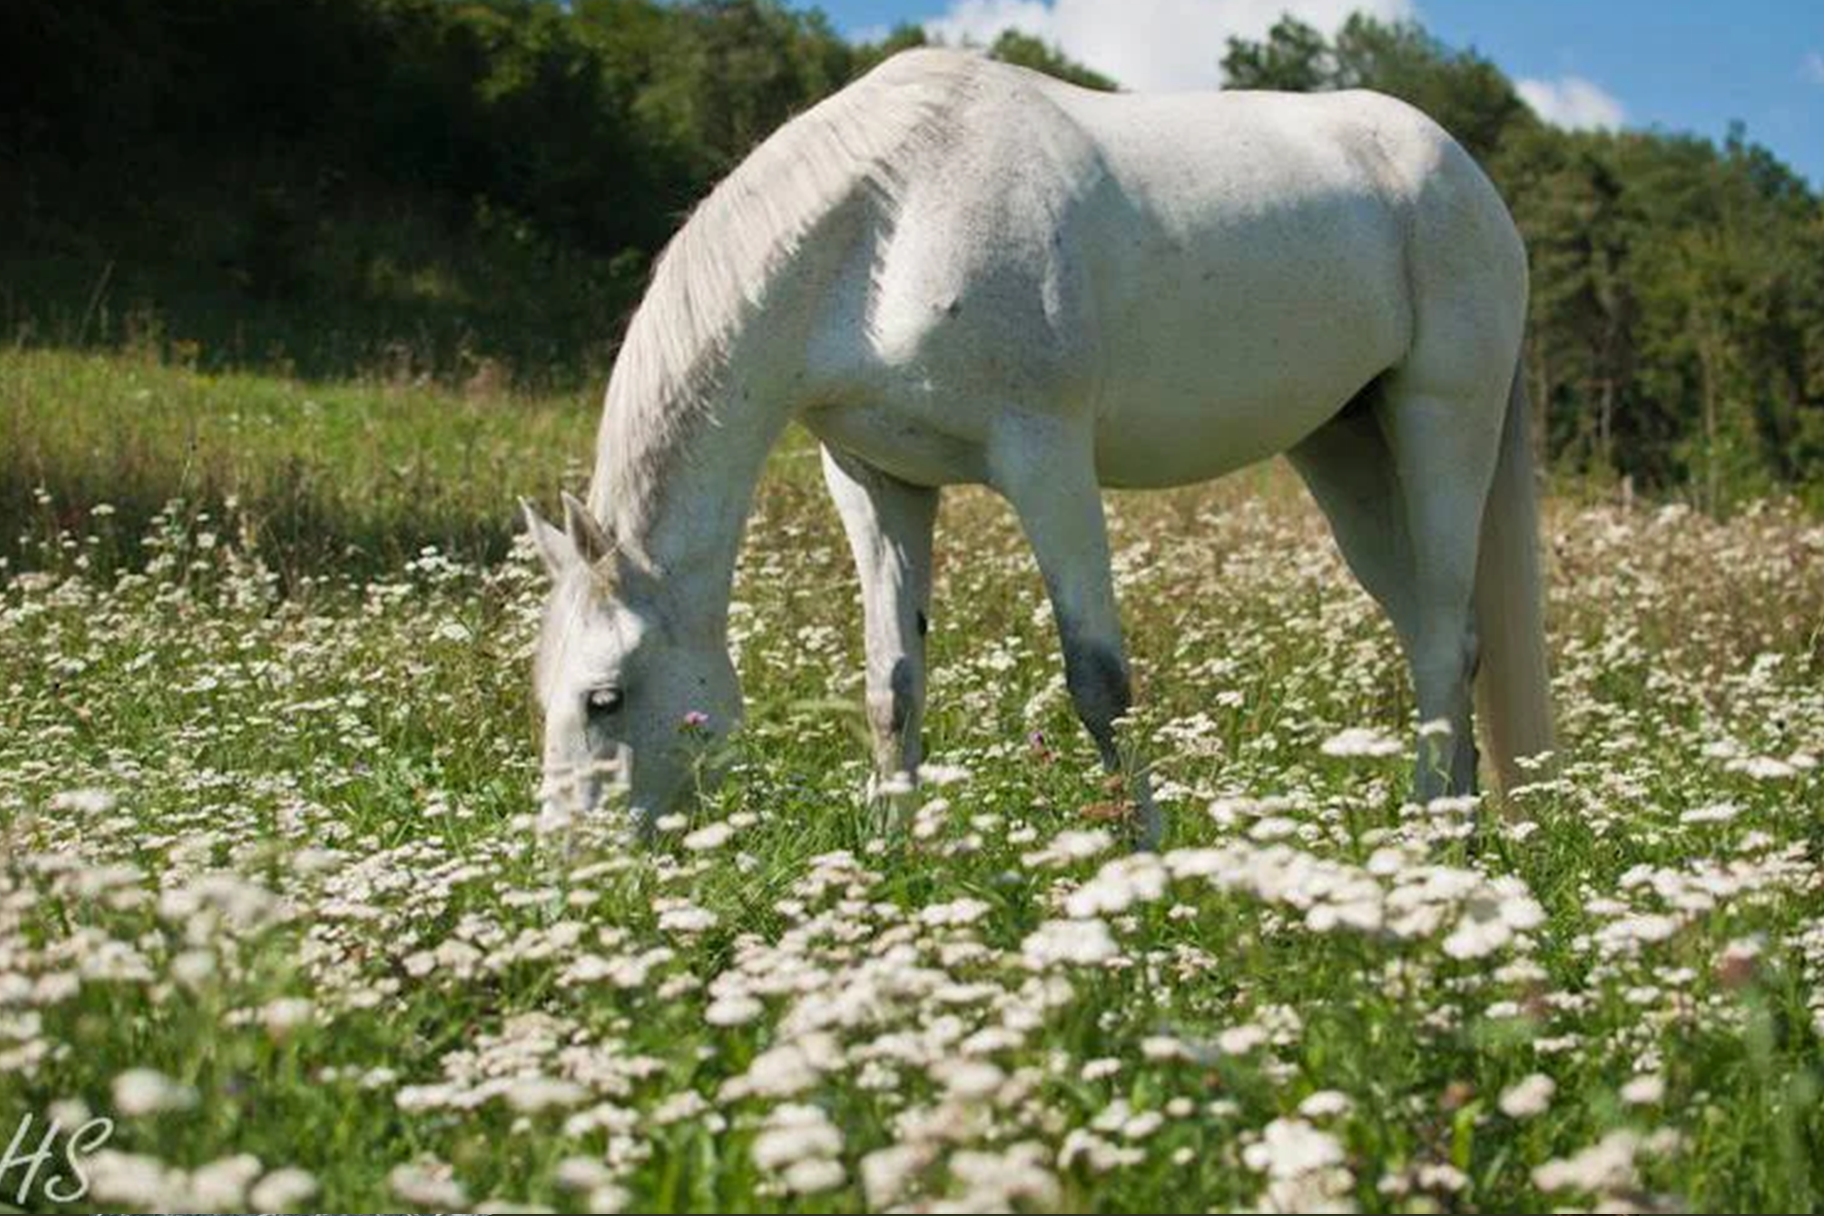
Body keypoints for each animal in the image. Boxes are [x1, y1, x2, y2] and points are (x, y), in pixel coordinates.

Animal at [525, 49, 1554, 838]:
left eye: (605, 699)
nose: (574, 867)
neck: (886, 226)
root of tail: (1466, 179)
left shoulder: (1045, 458)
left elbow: (1099, 680)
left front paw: (1150, 855)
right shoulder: (876, 479)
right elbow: (891, 685)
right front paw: (886, 855)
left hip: (1441, 423)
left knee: (1445, 639)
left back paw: (1428, 835)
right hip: (1345, 452)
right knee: (1435, 629)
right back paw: (1462, 831)